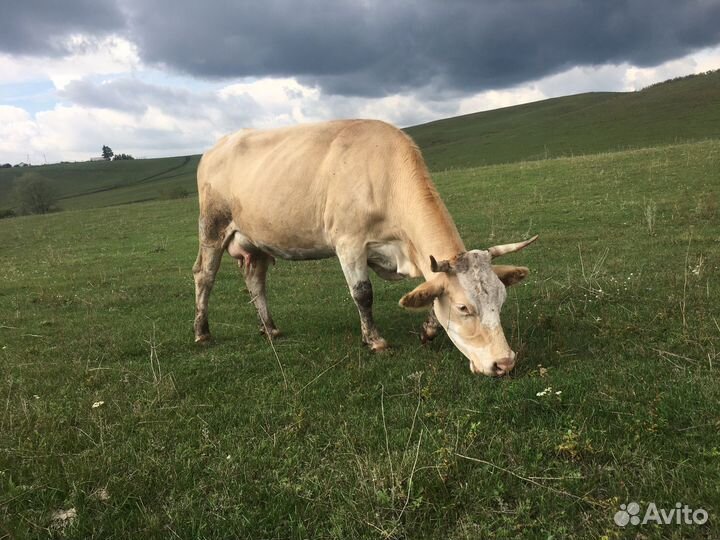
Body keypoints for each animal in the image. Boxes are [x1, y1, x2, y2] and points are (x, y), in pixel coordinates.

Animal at [193, 119, 537, 376]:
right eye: (464, 308)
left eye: (501, 300)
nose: (505, 362)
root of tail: (215, 147)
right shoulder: (349, 243)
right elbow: (363, 294)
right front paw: (374, 340)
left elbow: (429, 291)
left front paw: (427, 330)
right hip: (212, 226)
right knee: (204, 276)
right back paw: (202, 331)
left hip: (256, 241)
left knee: (256, 281)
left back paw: (270, 328)